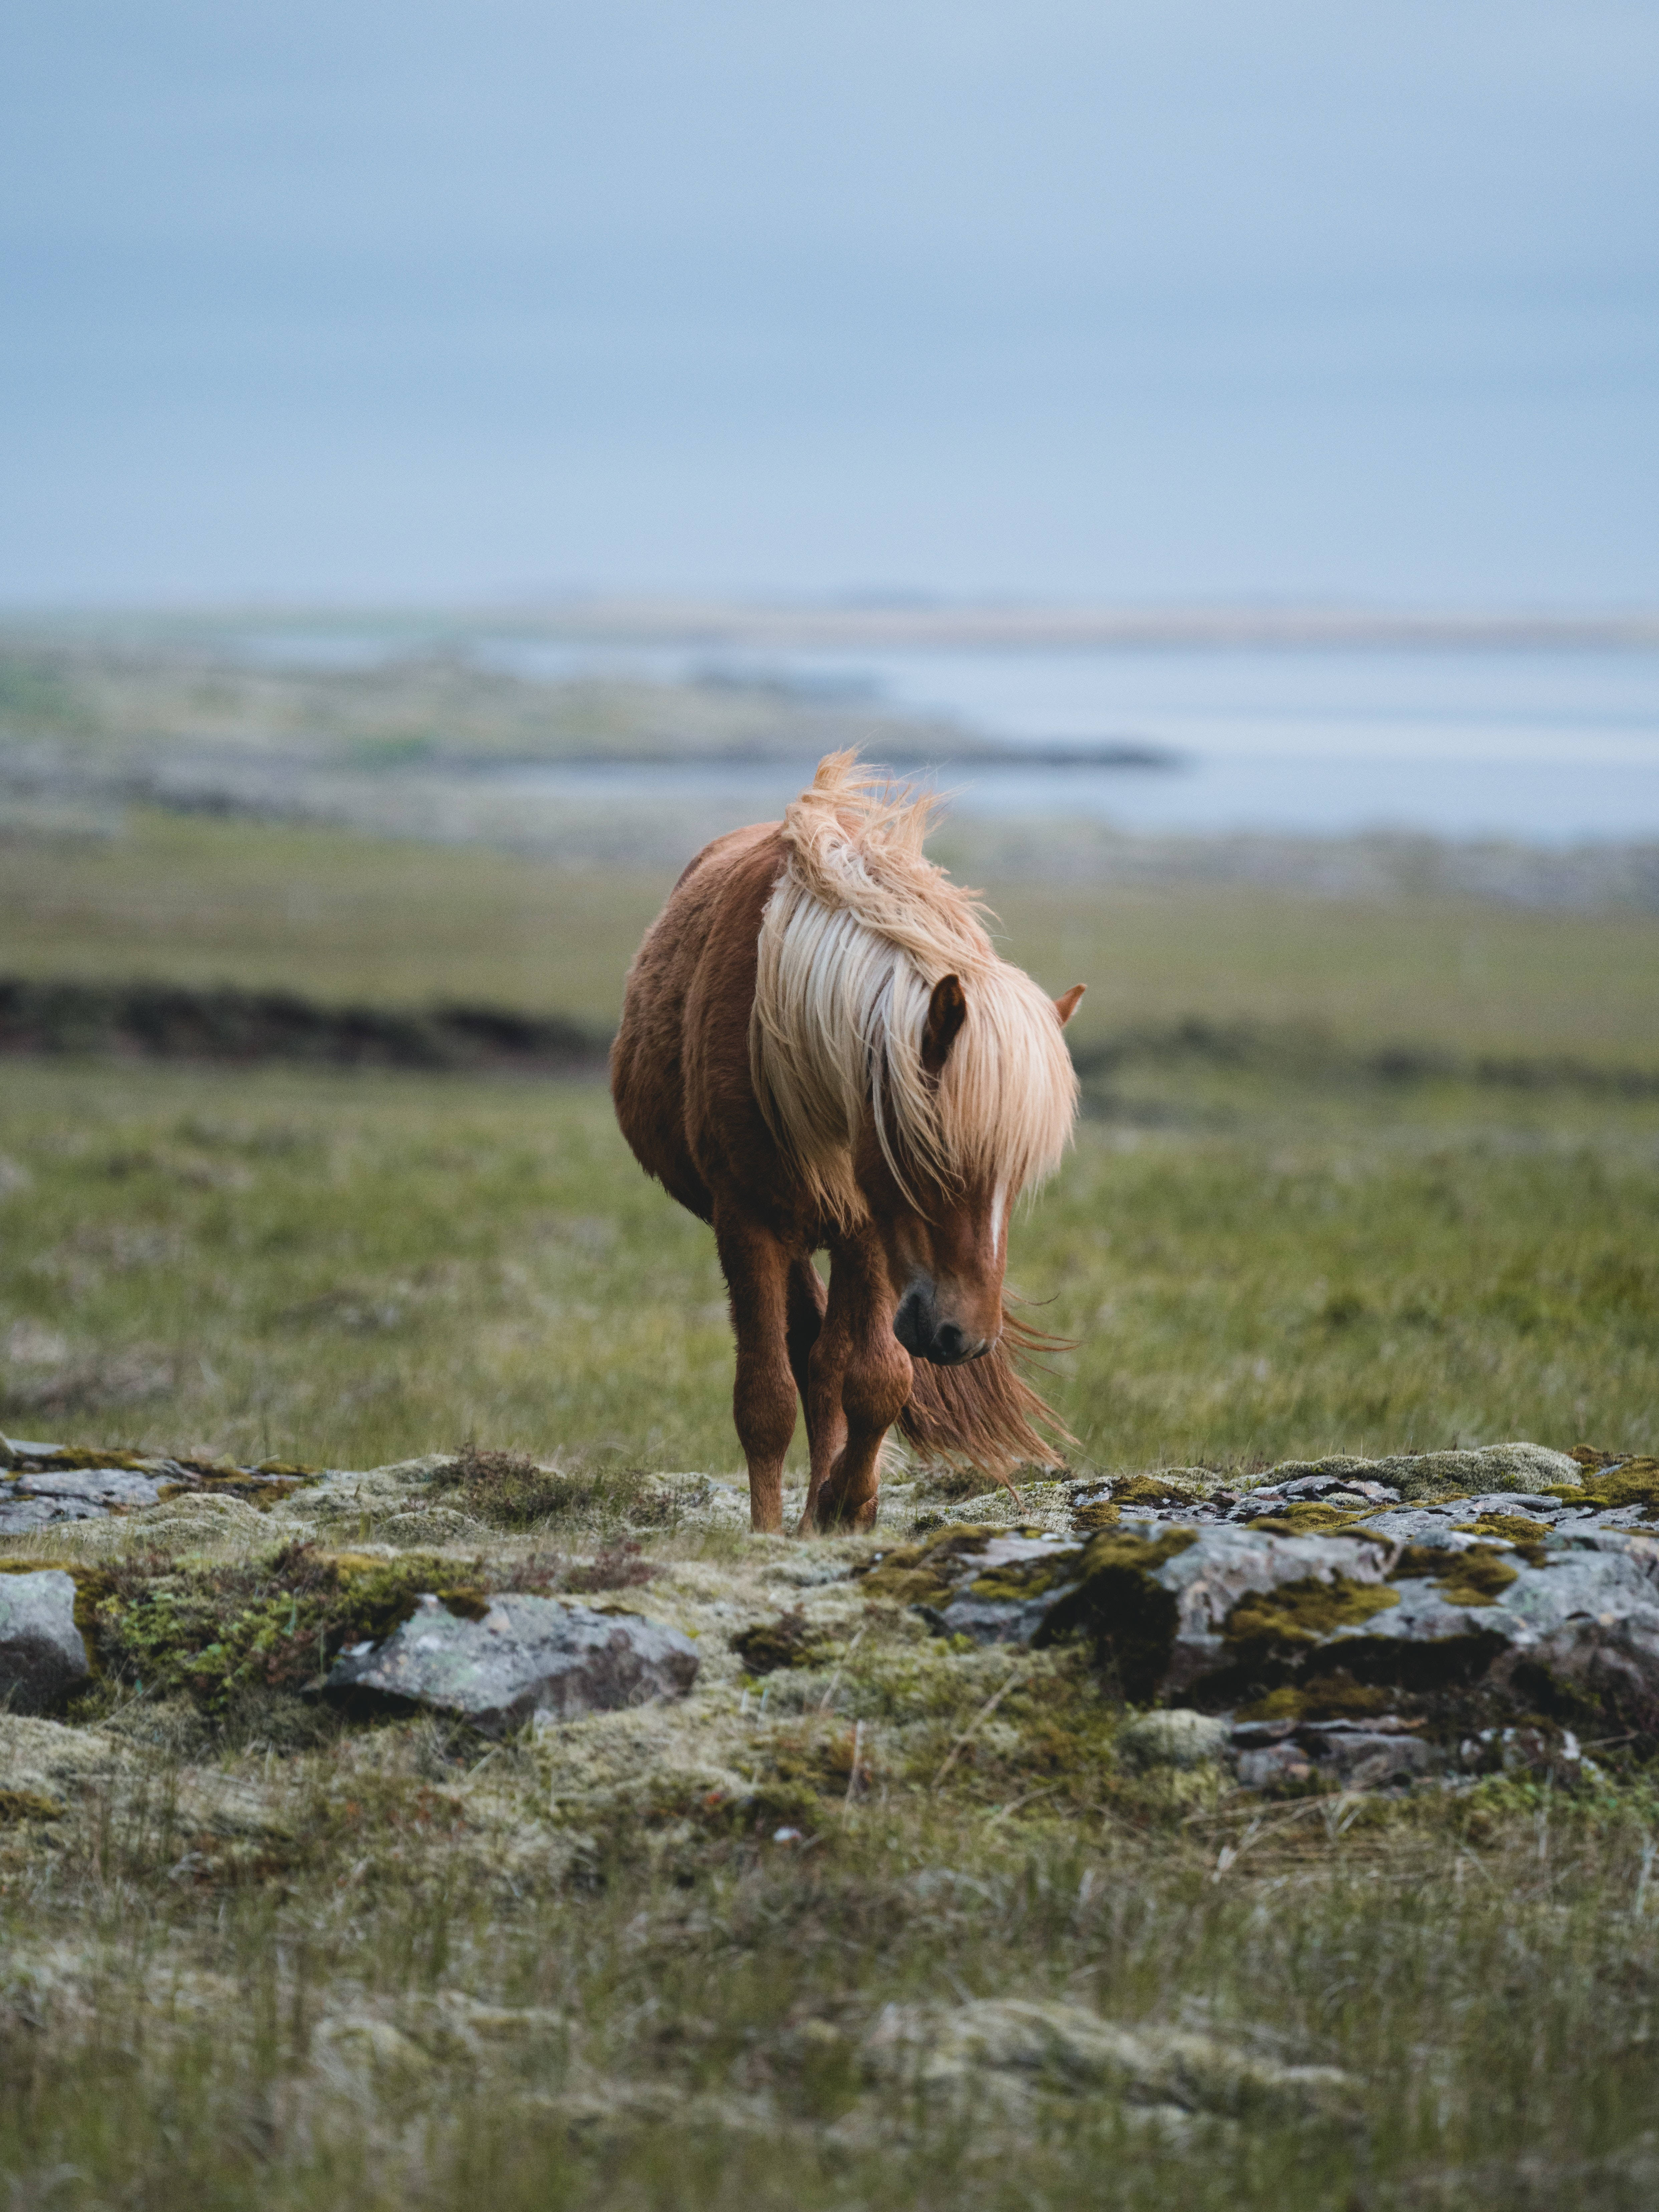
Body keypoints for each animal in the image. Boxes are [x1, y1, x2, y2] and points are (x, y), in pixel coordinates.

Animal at [610, 752, 1085, 1534]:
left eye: (1017, 1180)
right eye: (937, 1162)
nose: (968, 1337)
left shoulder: (867, 1228)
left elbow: (875, 1379)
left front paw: (846, 1503)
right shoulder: (747, 1222)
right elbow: (766, 1398)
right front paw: (770, 1531)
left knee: (828, 1359)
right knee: (804, 1353)